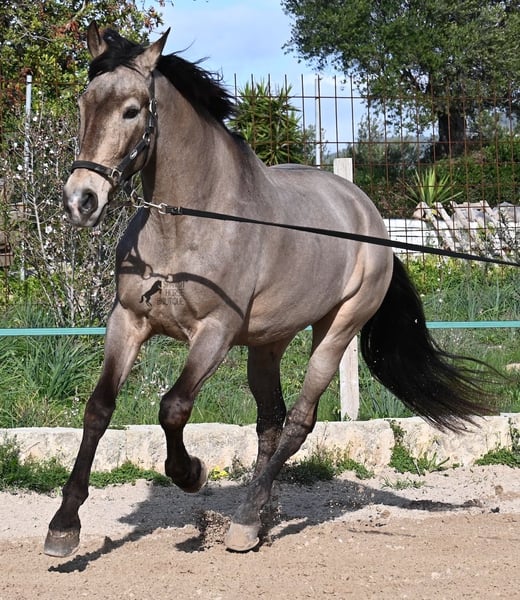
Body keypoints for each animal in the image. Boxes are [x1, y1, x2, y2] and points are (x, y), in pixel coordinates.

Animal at [44, 22, 495, 557]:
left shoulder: (214, 333)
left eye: (132, 110)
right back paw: (256, 518)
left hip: (337, 330)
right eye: (83, 104)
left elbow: (173, 407)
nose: (81, 201)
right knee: (270, 421)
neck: (187, 223)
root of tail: (369, 216)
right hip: (267, 342)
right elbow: (99, 407)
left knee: (298, 421)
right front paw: (64, 526)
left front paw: (190, 473)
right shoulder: (128, 321)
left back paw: (245, 520)